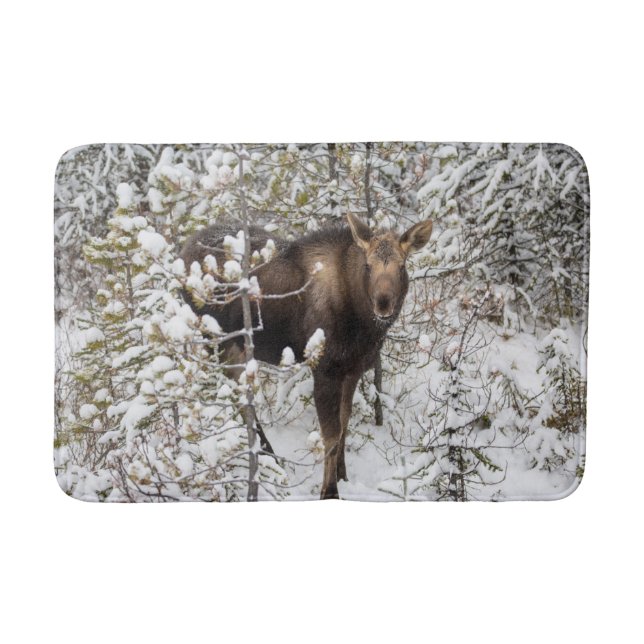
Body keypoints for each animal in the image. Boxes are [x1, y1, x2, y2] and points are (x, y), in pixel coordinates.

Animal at [180, 213, 433, 499]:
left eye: (402, 266)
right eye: (368, 265)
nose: (383, 304)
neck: (363, 327)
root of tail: (182, 251)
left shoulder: (353, 369)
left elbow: (345, 423)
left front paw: (342, 474)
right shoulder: (325, 369)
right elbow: (331, 435)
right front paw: (329, 491)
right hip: (219, 340)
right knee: (237, 397)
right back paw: (268, 456)